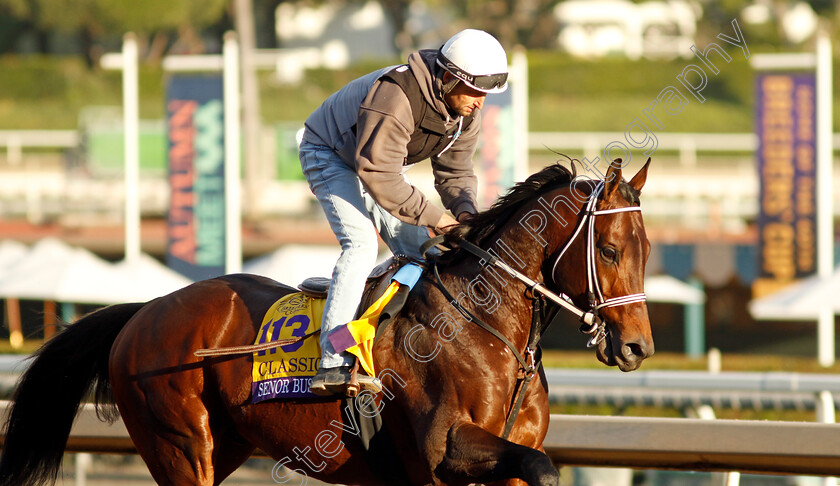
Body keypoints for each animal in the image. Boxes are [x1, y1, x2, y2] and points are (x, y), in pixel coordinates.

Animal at [0, 160, 652, 486]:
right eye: (610, 250)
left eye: (647, 249)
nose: (637, 347)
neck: (486, 329)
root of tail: (145, 311)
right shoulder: (442, 452)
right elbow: (534, 467)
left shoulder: (511, 454)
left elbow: (537, 465)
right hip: (179, 442)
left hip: (225, 442)